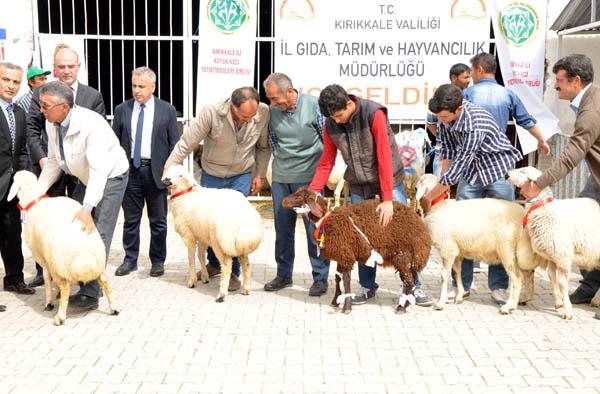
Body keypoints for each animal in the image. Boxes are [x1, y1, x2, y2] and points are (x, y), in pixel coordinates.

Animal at [6, 171, 118, 324]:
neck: (33, 200)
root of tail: (85, 256)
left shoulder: (42, 258)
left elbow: (47, 279)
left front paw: (49, 302)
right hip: (99, 262)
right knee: (105, 283)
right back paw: (114, 308)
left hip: (58, 265)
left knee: (66, 288)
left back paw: (59, 317)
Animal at [162, 164, 262, 302]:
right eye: (168, 171)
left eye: (180, 175)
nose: (166, 181)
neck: (184, 196)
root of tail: (244, 218)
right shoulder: (202, 236)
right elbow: (200, 256)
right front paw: (205, 277)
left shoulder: (189, 235)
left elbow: (191, 257)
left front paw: (192, 281)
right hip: (240, 244)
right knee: (246, 264)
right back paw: (246, 289)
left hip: (220, 242)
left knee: (226, 265)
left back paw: (221, 294)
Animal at [282, 188, 432, 314]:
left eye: (299, 196)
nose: (283, 201)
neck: (327, 220)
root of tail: (423, 231)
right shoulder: (342, 256)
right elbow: (338, 279)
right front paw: (335, 301)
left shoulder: (346, 256)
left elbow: (346, 281)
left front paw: (347, 307)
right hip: (410, 259)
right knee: (412, 280)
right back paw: (406, 303)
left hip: (403, 256)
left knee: (409, 282)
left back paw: (401, 307)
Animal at [414, 175, 540, 314]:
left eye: (420, 183)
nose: (414, 188)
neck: (438, 205)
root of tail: (524, 214)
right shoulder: (457, 251)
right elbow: (458, 272)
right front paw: (459, 296)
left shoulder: (447, 249)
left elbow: (444, 276)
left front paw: (441, 303)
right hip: (522, 254)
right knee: (529, 275)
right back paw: (524, 298)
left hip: (507, 249)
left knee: (517, 278)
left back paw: (508, 306)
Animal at [506, 167, 600, 320]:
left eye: (523, 171)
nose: (506, 175)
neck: (544, 208)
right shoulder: (553, 255)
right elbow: (551, 276)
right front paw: (558, 302)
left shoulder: (562, 255)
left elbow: (562, 283)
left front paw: (567, 310)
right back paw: (596, 301)